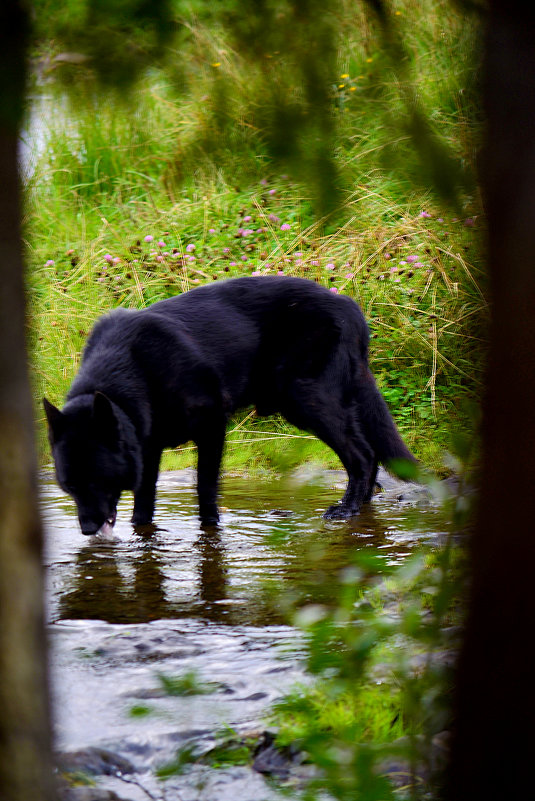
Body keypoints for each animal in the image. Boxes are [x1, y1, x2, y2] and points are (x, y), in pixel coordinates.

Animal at [44, 276, 416, 536]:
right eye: (69, 487)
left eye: (96, 481)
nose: (87, 531)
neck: (133, 366)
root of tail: (348, 305)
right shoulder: (147, 450)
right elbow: (143, 506)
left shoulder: (212, 428)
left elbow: (205, 490)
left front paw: (210, 531)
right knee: (369, 451)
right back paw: (362, 505)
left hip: (305, 401)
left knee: (362, 454)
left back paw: (347, 510)